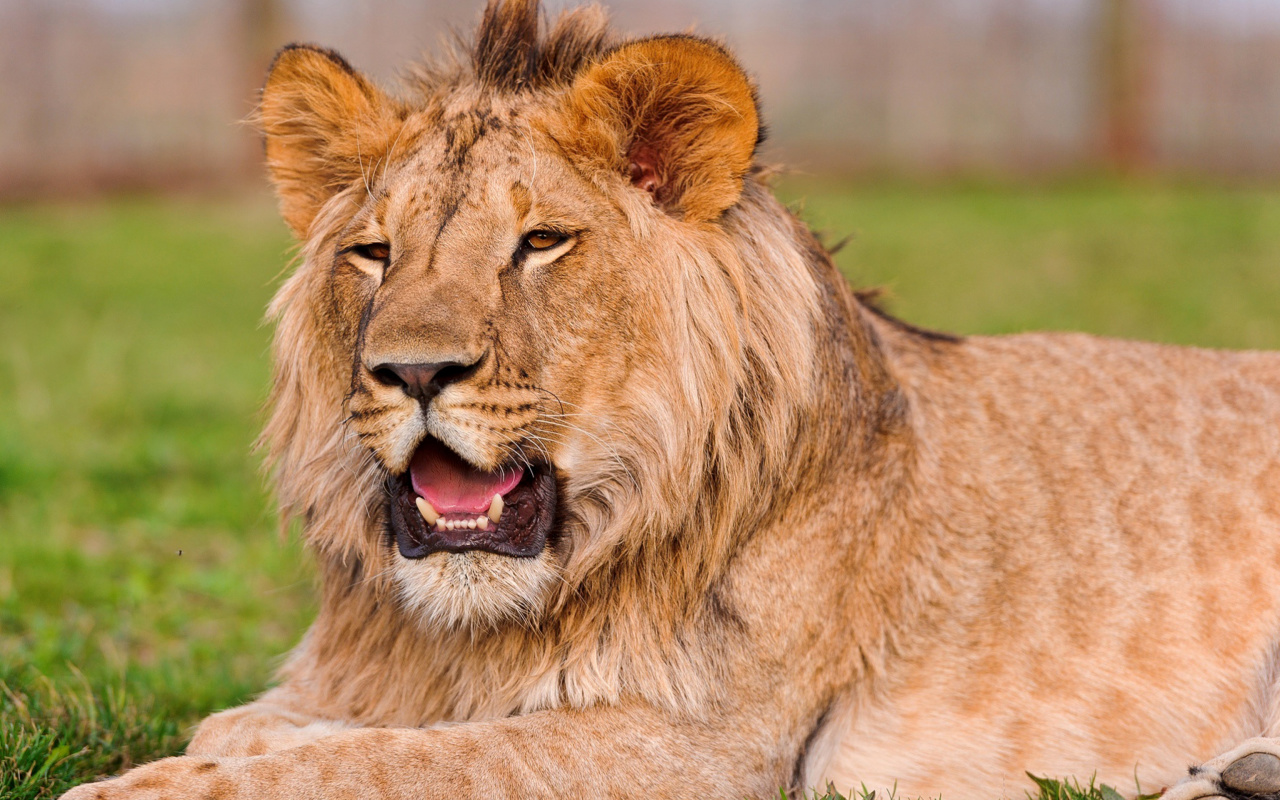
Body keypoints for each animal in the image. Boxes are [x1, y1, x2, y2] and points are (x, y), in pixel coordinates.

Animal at [62, 1, 1280, 798]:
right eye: (373, 252)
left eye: (540, 242)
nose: (412, 371)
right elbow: (260, 728)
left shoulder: (714, 747)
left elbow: (397, 764)